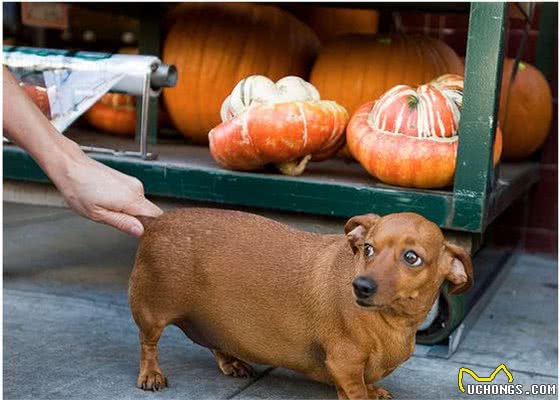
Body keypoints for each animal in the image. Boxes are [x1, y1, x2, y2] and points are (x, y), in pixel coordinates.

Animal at [130, 208, 472, 398]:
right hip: (150, 312)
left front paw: (374, 390)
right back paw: (151, 374)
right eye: (368, 249)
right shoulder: (344, 364)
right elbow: (356, 390)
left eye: (411, 257)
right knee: (148, 344)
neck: (392, 322)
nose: (360, 286)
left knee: (215, 343)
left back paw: (231, 362)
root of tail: (156, 221)